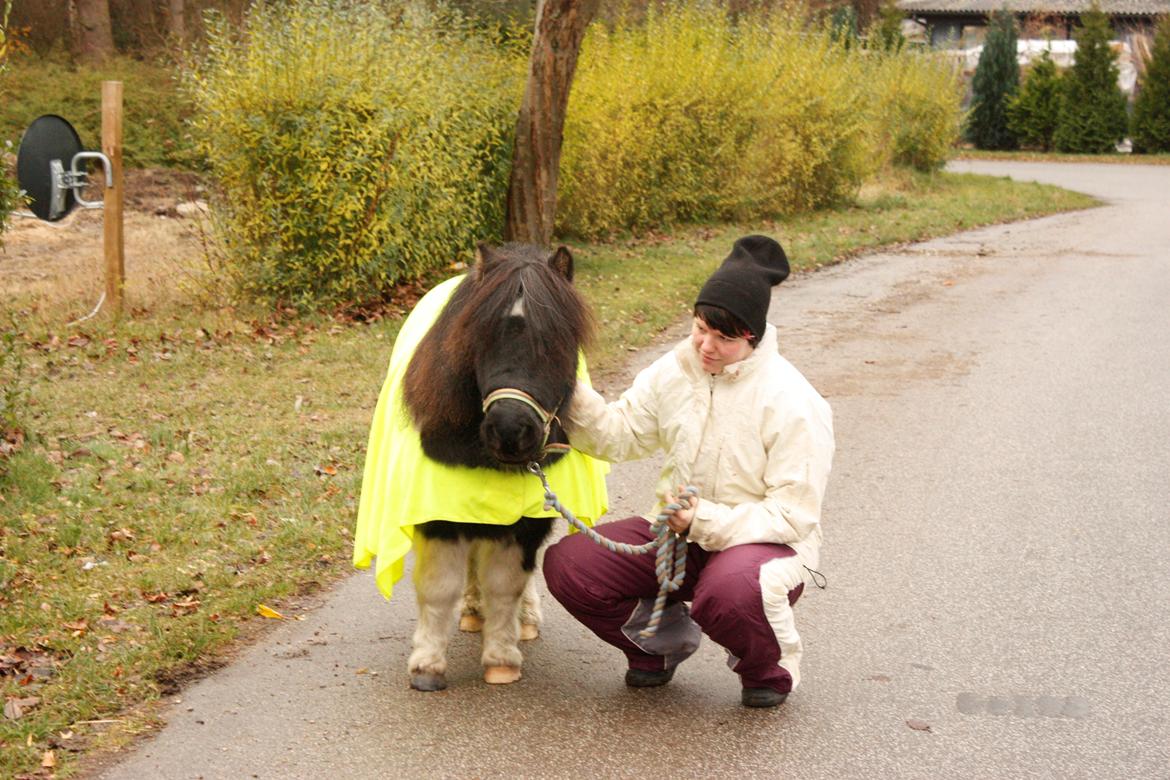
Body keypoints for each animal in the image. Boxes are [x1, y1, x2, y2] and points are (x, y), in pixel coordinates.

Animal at [402, 242, 589, 687]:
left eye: (557, 341)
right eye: (477, 336)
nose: (509, 430)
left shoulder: (525, 521)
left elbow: (507, 584)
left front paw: (502, 657)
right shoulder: (439, 510)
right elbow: (439, 586)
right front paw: (427, 664)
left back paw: (524, 618)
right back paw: (472, 611)